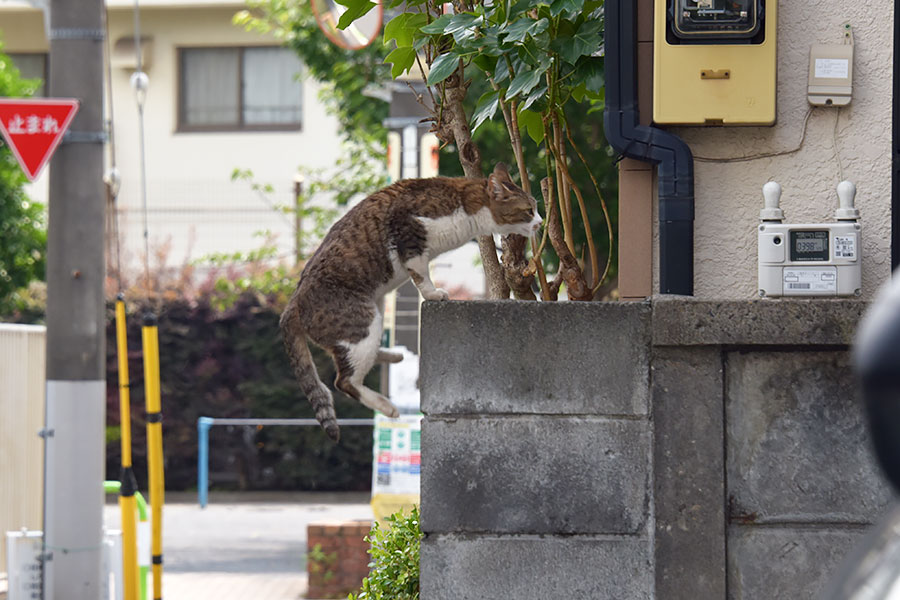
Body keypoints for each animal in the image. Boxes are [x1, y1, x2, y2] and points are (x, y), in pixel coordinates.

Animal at [278, 163, 540, 440]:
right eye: (528, 210)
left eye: (536, 208)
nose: (541, 223)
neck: (466, 207)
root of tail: (292, 303)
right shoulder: (410, 232)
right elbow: (421, 275)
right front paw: (434, 293)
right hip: (362, 321)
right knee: (344, 381)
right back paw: (386, 406)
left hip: (375, 311)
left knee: (353, 356)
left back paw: (393, 356)